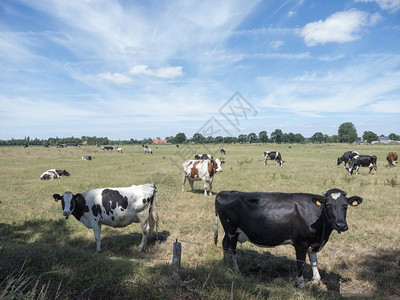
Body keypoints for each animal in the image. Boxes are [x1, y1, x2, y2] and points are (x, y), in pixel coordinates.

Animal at [216, 189, 362, 288]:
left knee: (224, 244)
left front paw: (316, 279)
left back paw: (225, 264)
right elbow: (301, 262)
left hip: (228, 231)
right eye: (329, 205)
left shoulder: (313, 242)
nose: (341, 225)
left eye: (345, 206)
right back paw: (236, 270)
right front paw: (301, 284)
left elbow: (314, 260)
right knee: (232, 249)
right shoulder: (301, 243)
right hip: (232, 230)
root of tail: (225, 192)